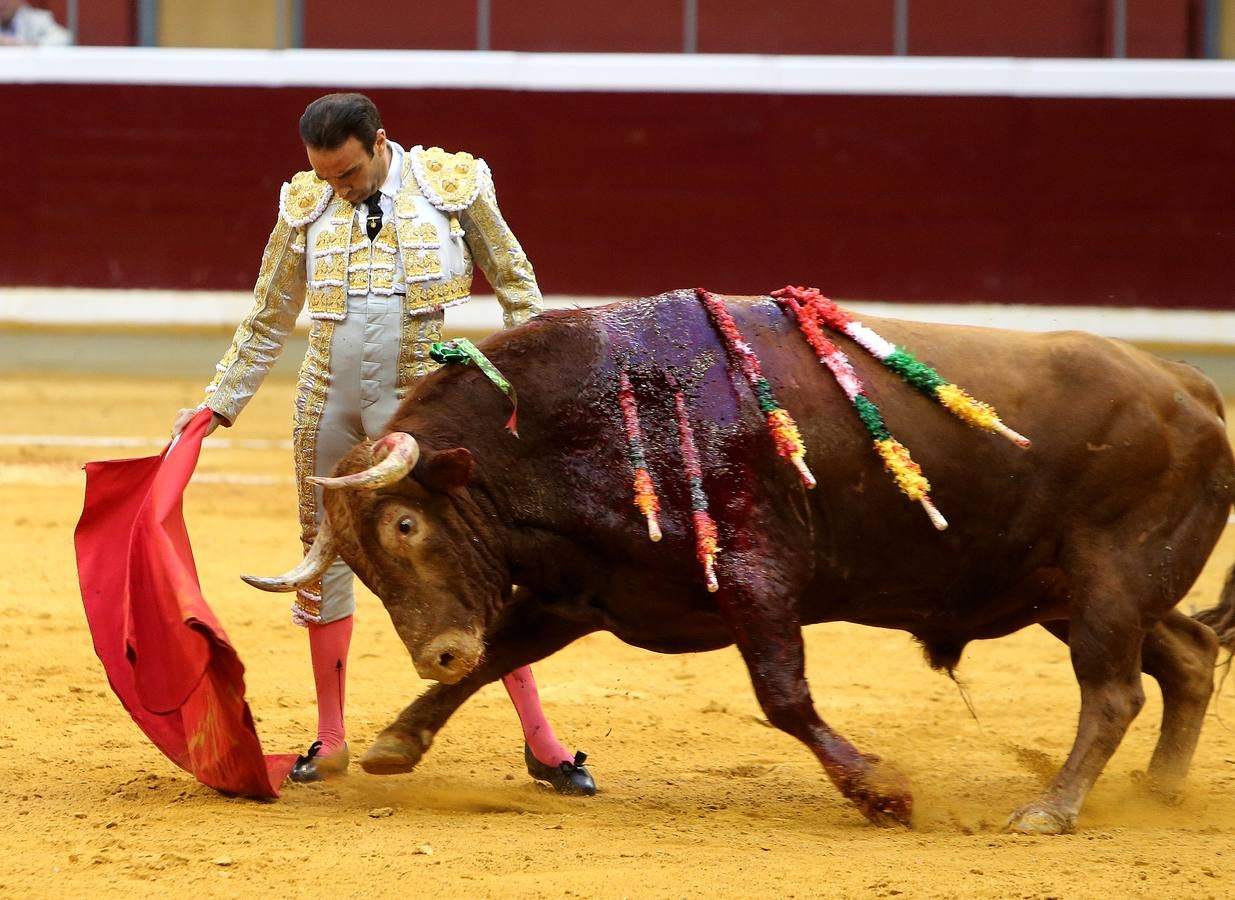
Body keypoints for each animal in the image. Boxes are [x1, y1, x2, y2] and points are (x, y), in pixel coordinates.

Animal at [243, 291, 1235, 829]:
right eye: (362, 557)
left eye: (407, 526)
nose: (435, 650)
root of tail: (1186, 384)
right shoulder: (584, 595)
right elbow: (500, 657)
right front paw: (395, 742)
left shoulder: (759, 578)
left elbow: (782, 695)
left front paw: (882, 794)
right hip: (1069, 591)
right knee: (1186, 655)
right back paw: (1157, 792)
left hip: (1107, 582)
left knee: (1113, 691)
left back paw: (1051, 811)